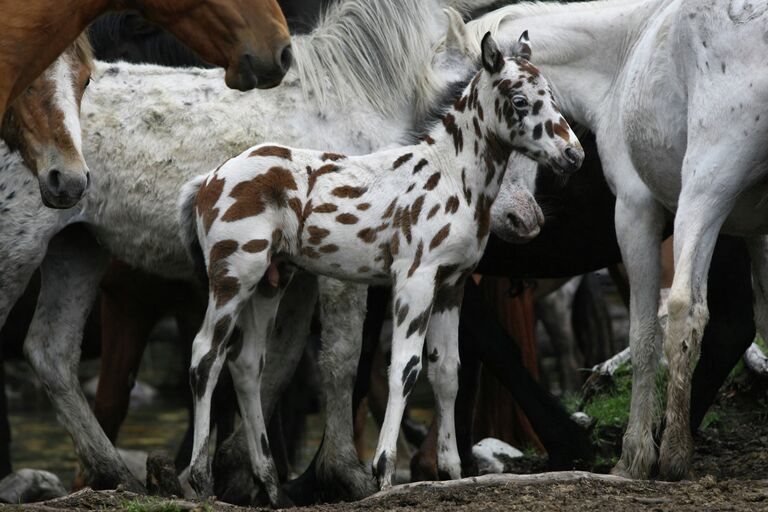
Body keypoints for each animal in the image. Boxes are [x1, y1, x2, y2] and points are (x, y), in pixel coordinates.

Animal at [180, 33, 584, 504]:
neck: (450, 177)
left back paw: (271, 485)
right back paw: (200, 479)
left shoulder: (452, 286)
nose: (574, 155)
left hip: (269, 282)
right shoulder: (414, 281)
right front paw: (384, 471)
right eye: (519, 100)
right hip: (232, 276)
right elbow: (404, 370)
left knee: (247, 366)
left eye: (551, 96)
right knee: (205, 356)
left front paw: (451, 472)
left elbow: (447, 372)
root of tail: (210, 179)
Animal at [440, 0, 768, 480]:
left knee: (686, 308)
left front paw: (633, 456)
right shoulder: (754, 226)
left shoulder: (635, 209)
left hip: (706, 188)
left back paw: (672, 453)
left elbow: (645, 331)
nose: (513, 219)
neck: (621, 59)